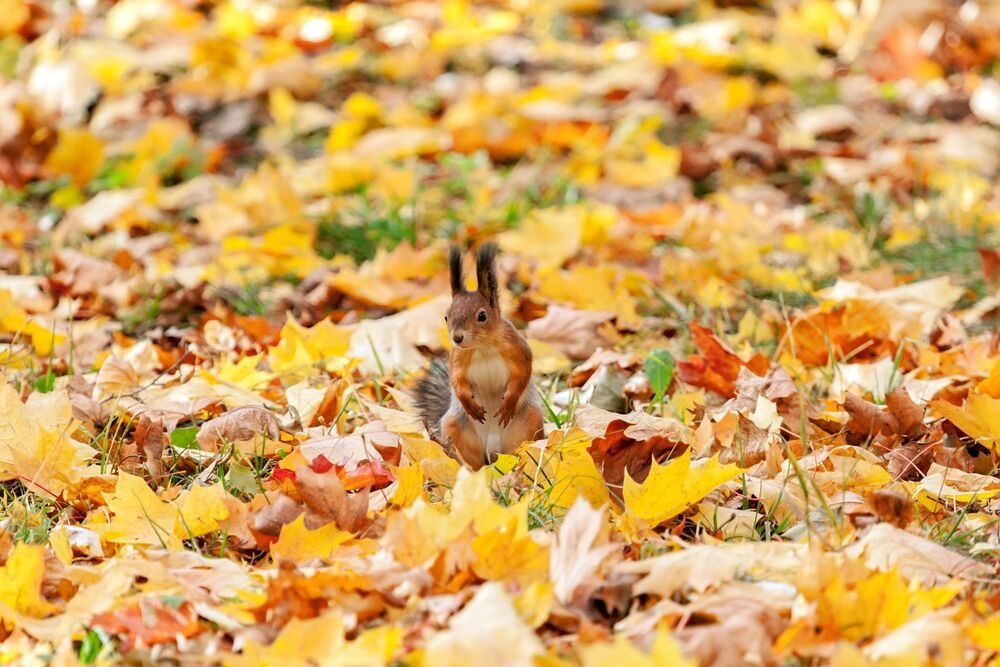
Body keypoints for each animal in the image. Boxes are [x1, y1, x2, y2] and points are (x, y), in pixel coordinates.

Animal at [414, 242, 543, 469]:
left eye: (482, 316)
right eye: (446, 316)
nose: (457, 338)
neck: (484, 347)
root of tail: (492, 451)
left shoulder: (518, 350)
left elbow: (522, 374)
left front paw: (508, 403)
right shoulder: (458, 358)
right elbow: (457, 380)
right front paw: (469, 404)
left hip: (528, 423)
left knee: (520, 450)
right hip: (457, 428)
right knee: (470, 459)